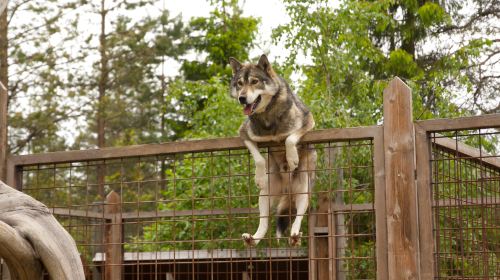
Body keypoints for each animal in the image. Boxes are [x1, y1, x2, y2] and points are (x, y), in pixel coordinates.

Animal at [229, 53, 316, 246]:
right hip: (265, 196)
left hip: (303, 192)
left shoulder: (308, 121)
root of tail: (286, 189)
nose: (242, 98)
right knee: (264, 222)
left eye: (254, 82)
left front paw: (292, 159)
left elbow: (290, 139)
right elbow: (259, 158)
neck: (267, 115)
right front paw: (259, 177)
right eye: (240, 83)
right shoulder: (244, 134)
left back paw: (295, 236)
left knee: (298, 218)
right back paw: (252, 239)